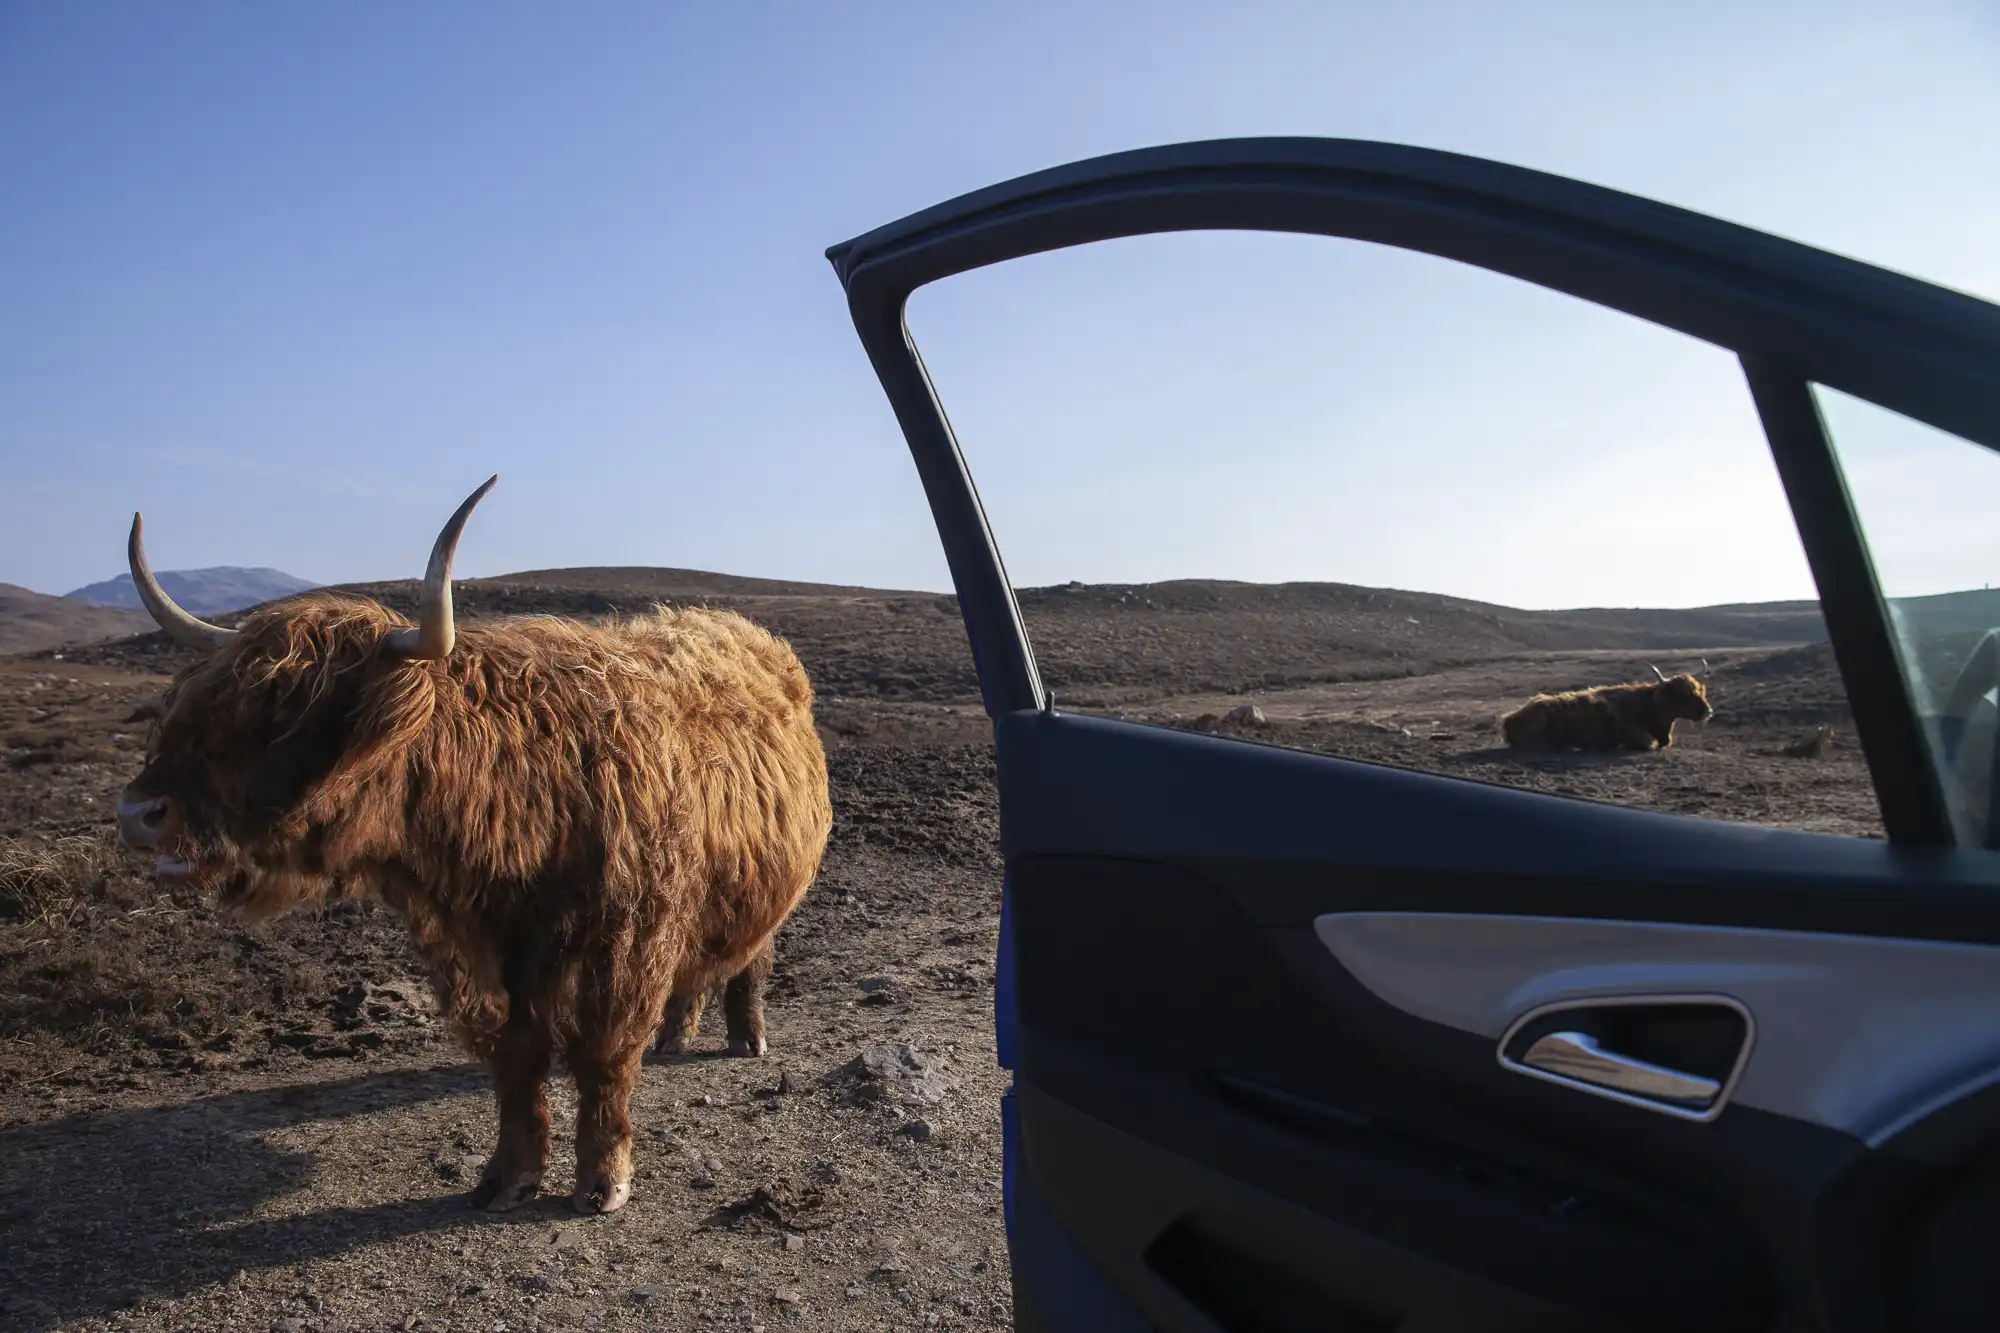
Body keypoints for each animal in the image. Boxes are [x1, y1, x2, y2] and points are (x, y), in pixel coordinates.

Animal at [111, 477, 832, 1215]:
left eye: (285, 714)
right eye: (198, 702)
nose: (139, 812)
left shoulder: (626, 940)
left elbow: (602, 1058)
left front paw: (603, 1178)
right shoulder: (476, 948)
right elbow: (515, 1063)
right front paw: (508, 1174)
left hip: (766, 888)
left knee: (750, 954)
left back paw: (747, 1035)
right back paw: (675, 1034)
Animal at [1499, 664, 1714, 753]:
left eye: (1699, 690)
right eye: (1683, 694)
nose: (1708, 712)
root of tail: (1509, 718)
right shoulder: (1634, 733)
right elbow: (1650, 743)